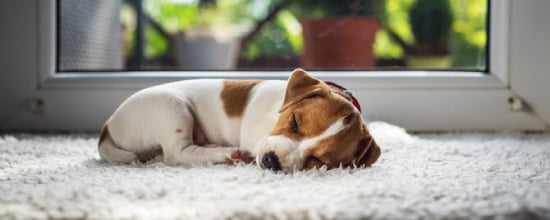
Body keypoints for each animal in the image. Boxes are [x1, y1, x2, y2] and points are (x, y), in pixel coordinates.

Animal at [99, 69, 382, 172]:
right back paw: (226, 154)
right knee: (176, 154)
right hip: (172, 107)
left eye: (318, 160)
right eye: (294, 122)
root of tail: (107, 127)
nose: (271, 161)